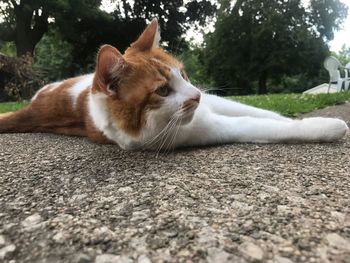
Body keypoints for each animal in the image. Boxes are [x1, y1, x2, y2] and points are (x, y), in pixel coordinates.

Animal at [0, 19, 348, 151]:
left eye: (183, 75)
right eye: (162, 91)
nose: (195, 96)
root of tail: (34, 103)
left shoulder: (213, 101)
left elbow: (266, 114)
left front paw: (291, 115)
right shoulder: (210, 127)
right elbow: (263, 125)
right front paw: (328, 125)